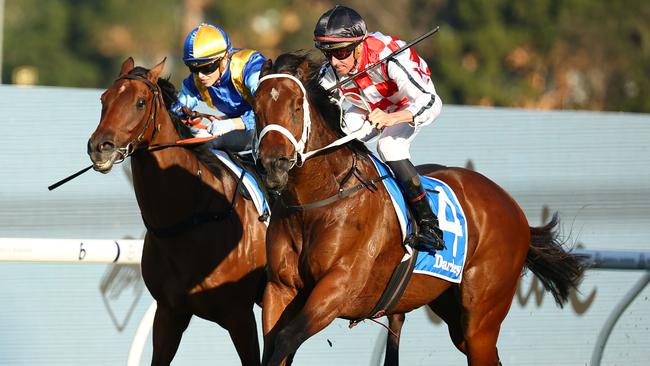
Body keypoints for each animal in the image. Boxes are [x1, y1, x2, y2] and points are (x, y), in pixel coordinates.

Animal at [252, 53, 584, 364]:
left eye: (297, 106)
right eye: (256, 108)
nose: (273, 164)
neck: (316, 202)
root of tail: (513, 208)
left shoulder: (338, 288)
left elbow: (284, 339)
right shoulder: (280, 288)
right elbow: (273, 343)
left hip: (482, 317)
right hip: (451, 310)